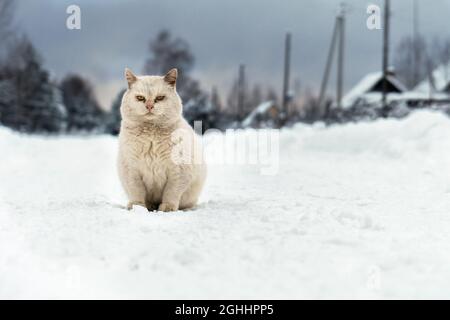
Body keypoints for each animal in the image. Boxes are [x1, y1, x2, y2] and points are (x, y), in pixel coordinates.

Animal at [117, 68, 207, 212]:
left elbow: (171, 192)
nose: (149, 106)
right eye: (140, 98)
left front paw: (167, 208)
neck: (151, 136)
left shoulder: (179, 172)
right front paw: (137, 207)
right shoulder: (131, 170)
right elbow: (136, 192)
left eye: (159, 98)